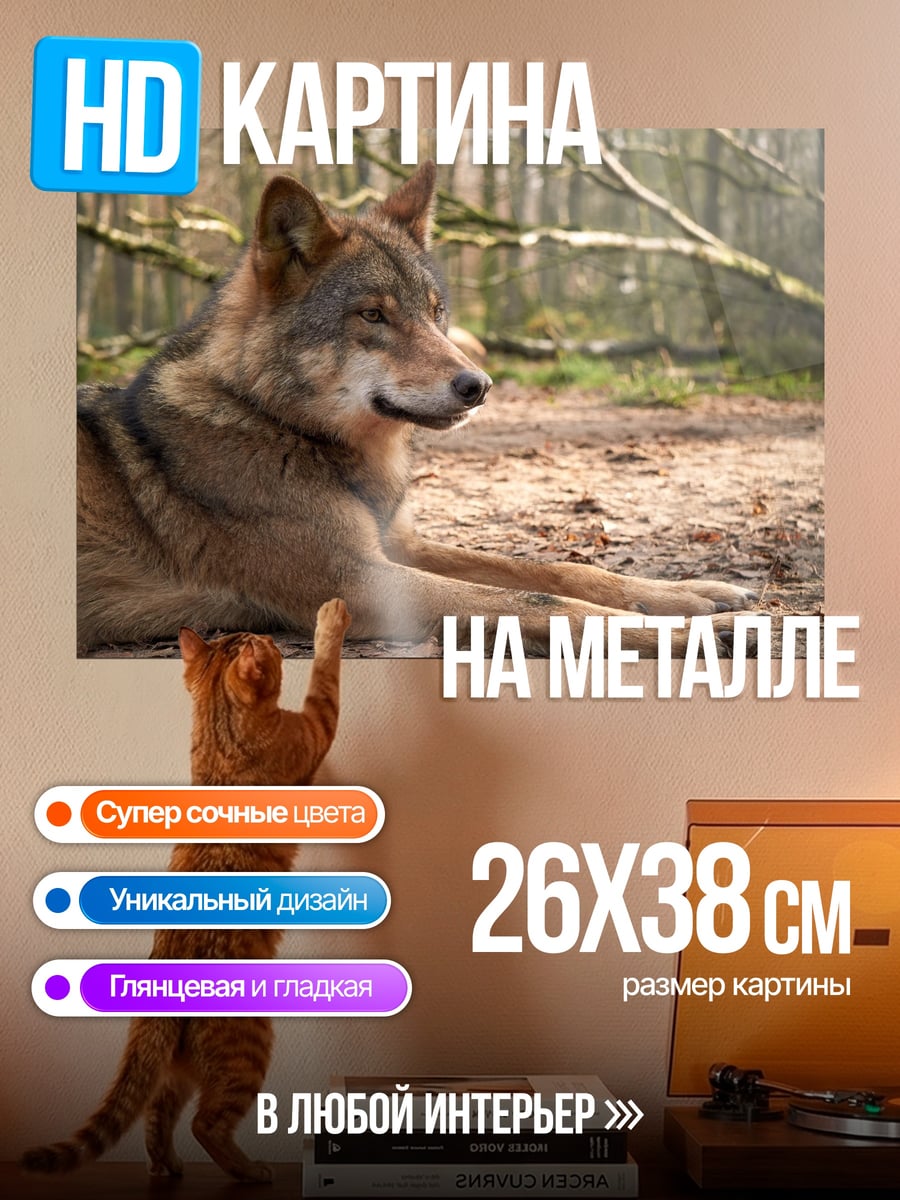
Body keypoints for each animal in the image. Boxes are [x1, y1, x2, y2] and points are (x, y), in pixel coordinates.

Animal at [77, 162, 756, 656]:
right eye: (373, 315)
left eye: (435, 312)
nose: (479, 384)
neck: (276, 424)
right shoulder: (356, 581)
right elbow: (539, 603)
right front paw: (688, 632)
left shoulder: (396, 546)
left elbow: (556, 571)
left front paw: (692, 594)